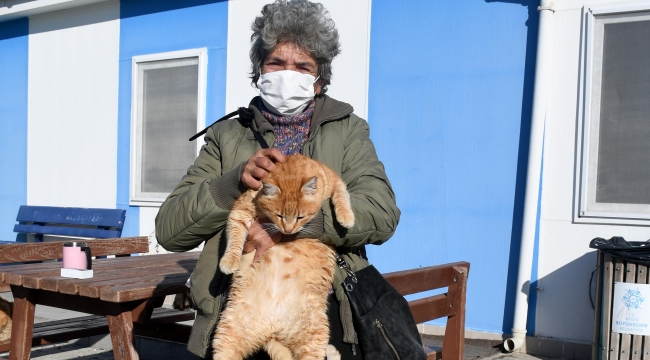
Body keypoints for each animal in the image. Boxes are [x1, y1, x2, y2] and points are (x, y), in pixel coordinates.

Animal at [213, 155, 354, 360]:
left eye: (300, 217)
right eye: (278, 215)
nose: (287, 230)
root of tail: (272, 328)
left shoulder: (336, 182)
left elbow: (342, 196)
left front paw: (346, 217)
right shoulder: (241, 210)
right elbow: (235, 236)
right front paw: (229, 261)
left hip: (313, 335)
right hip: (227, 334)